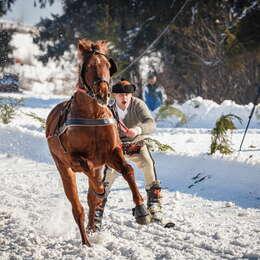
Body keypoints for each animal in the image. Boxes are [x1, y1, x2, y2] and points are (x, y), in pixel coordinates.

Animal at [45, 39, 149, 247]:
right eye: (90, 66)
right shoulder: (74, 159)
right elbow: (87, 169)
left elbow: (127, 170)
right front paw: (101, 189)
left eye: (108, 65)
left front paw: (141, 210)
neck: (93, 115)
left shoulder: (111, 153)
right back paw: (86, 241)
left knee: (90, 199)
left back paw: (93, 227)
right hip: (63, 167)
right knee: (77, 206)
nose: (104, 93)